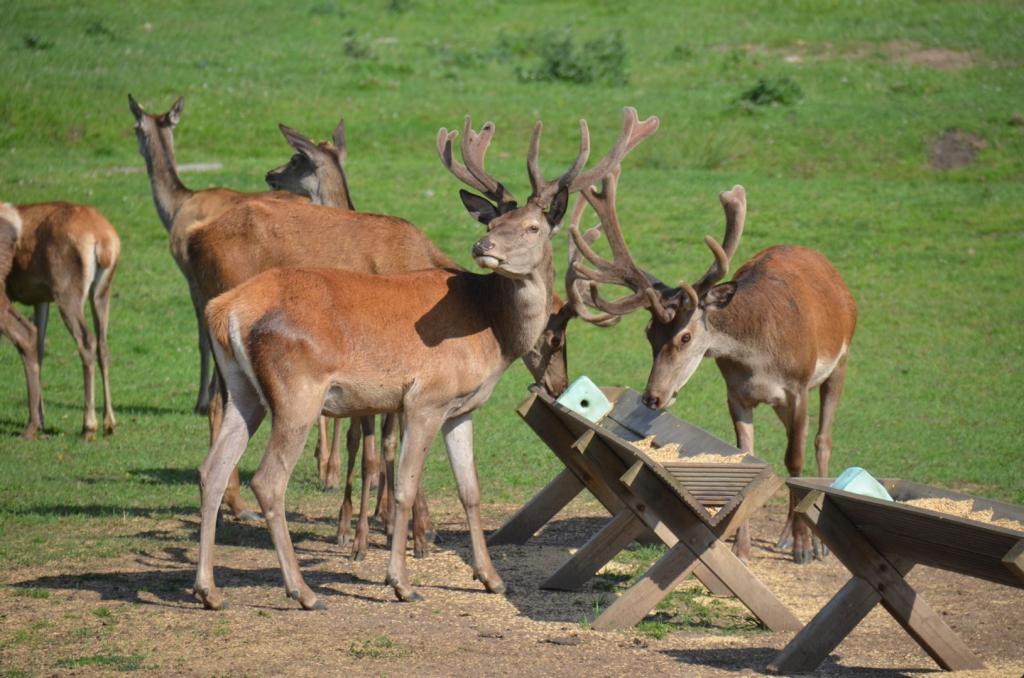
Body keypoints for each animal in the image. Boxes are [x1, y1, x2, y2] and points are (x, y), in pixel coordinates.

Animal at [1, 201, 119, 440]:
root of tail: (104, 241)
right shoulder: (41, 298)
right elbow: (39, 347)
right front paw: (40, 417)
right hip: (101, 293)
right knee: (103, 345)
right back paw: (109, 422)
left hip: (67, 295)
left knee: (87, 341)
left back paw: (88, 426)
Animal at [191, 109, 655, 614]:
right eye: (495, 221)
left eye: (531, 227)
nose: (482, 247)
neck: (492, 330)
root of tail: (227, 310)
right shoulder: (425, 399)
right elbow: (405, 486)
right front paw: (401, 582)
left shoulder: (461, 409)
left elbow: (470, 490)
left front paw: (491, 579)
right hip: (297, 391)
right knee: (269, 481)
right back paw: (303, 591)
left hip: (245, 390)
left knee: (211, 469)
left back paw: (208, 590)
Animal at [569, 173, 856, 565]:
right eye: (648, 333)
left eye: (685, 336)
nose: (652, 397)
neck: (758, 359)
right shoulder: (736, 394)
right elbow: (748, 455)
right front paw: (742, 548)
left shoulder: (797, 387)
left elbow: (794, 458)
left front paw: (802, 547)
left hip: (838, 362)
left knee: (821, 440)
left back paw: (816, 543)